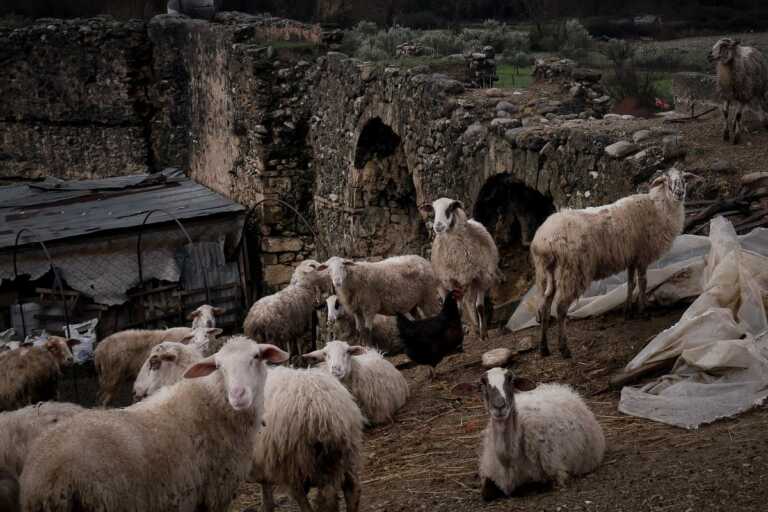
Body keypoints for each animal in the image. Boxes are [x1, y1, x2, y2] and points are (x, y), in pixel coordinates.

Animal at [23, 336, 292, 512]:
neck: (211, 400)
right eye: (218, 366)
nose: (238, 395)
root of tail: (43, 476)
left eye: (256, 357)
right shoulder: (215, 492)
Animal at [420, 199, 498, 340]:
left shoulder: (481, 277)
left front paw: (483, 334)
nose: (438, 226)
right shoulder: (451, 280)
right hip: (443, 285)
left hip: (472, 281)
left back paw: (477, 329)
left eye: (450, 208)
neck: (457, 256)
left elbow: (480, 307)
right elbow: (458, 310)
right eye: (433, 210)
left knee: (471, 303)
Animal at [476, 366, 604, 502]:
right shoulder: (490, 475)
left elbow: (526, 488)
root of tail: (557, 387)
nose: (499, 406)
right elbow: (486, 494)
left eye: (511, 379)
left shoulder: (552, 475)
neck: (508, 460)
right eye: (483, 382)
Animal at [532, 170, 692, 358]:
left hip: (545, 274)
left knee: (544, 305)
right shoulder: (642, 256)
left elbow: (631, 284)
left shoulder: (632, 257)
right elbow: (643, 284)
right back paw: (564, 349)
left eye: (683, 179)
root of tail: (545, 241)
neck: (658, 208)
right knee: (560, 308)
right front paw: (643, 311)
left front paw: (628, 312)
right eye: (667, 181)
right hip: (572, 271)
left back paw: (544, 348)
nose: (680, 193)